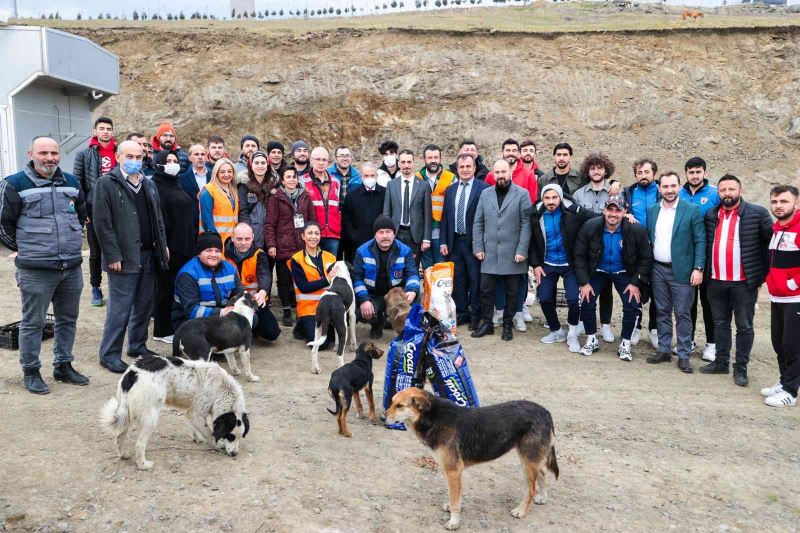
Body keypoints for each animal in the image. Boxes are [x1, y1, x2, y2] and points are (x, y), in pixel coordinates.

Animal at [100, 356, 250, 468]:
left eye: (240, 437)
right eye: (230, 436)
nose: (235, 454)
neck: (222, 389)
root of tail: (132, 373)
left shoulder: (194, 413)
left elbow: (197, 429)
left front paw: (197, 438)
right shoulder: (196, 414)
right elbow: (210, 433)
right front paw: (218, 444)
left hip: (126, 414)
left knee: (119, 437)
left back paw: (124, 455)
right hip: (150, 418)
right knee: (139, 444)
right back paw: (143, 465)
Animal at [386, 386, 560, 528]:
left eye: (400, 406)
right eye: (392, 402)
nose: (382, 417)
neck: (433, 418)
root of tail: (545, 412)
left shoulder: (453, 471)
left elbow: (455, 501)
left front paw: (454, 522)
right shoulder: (455, 473)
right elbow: (456, 497)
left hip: (527, 461)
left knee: (531, 489)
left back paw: (521, 511)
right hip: (529, 459)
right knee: (542, 474)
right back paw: (543, 498)